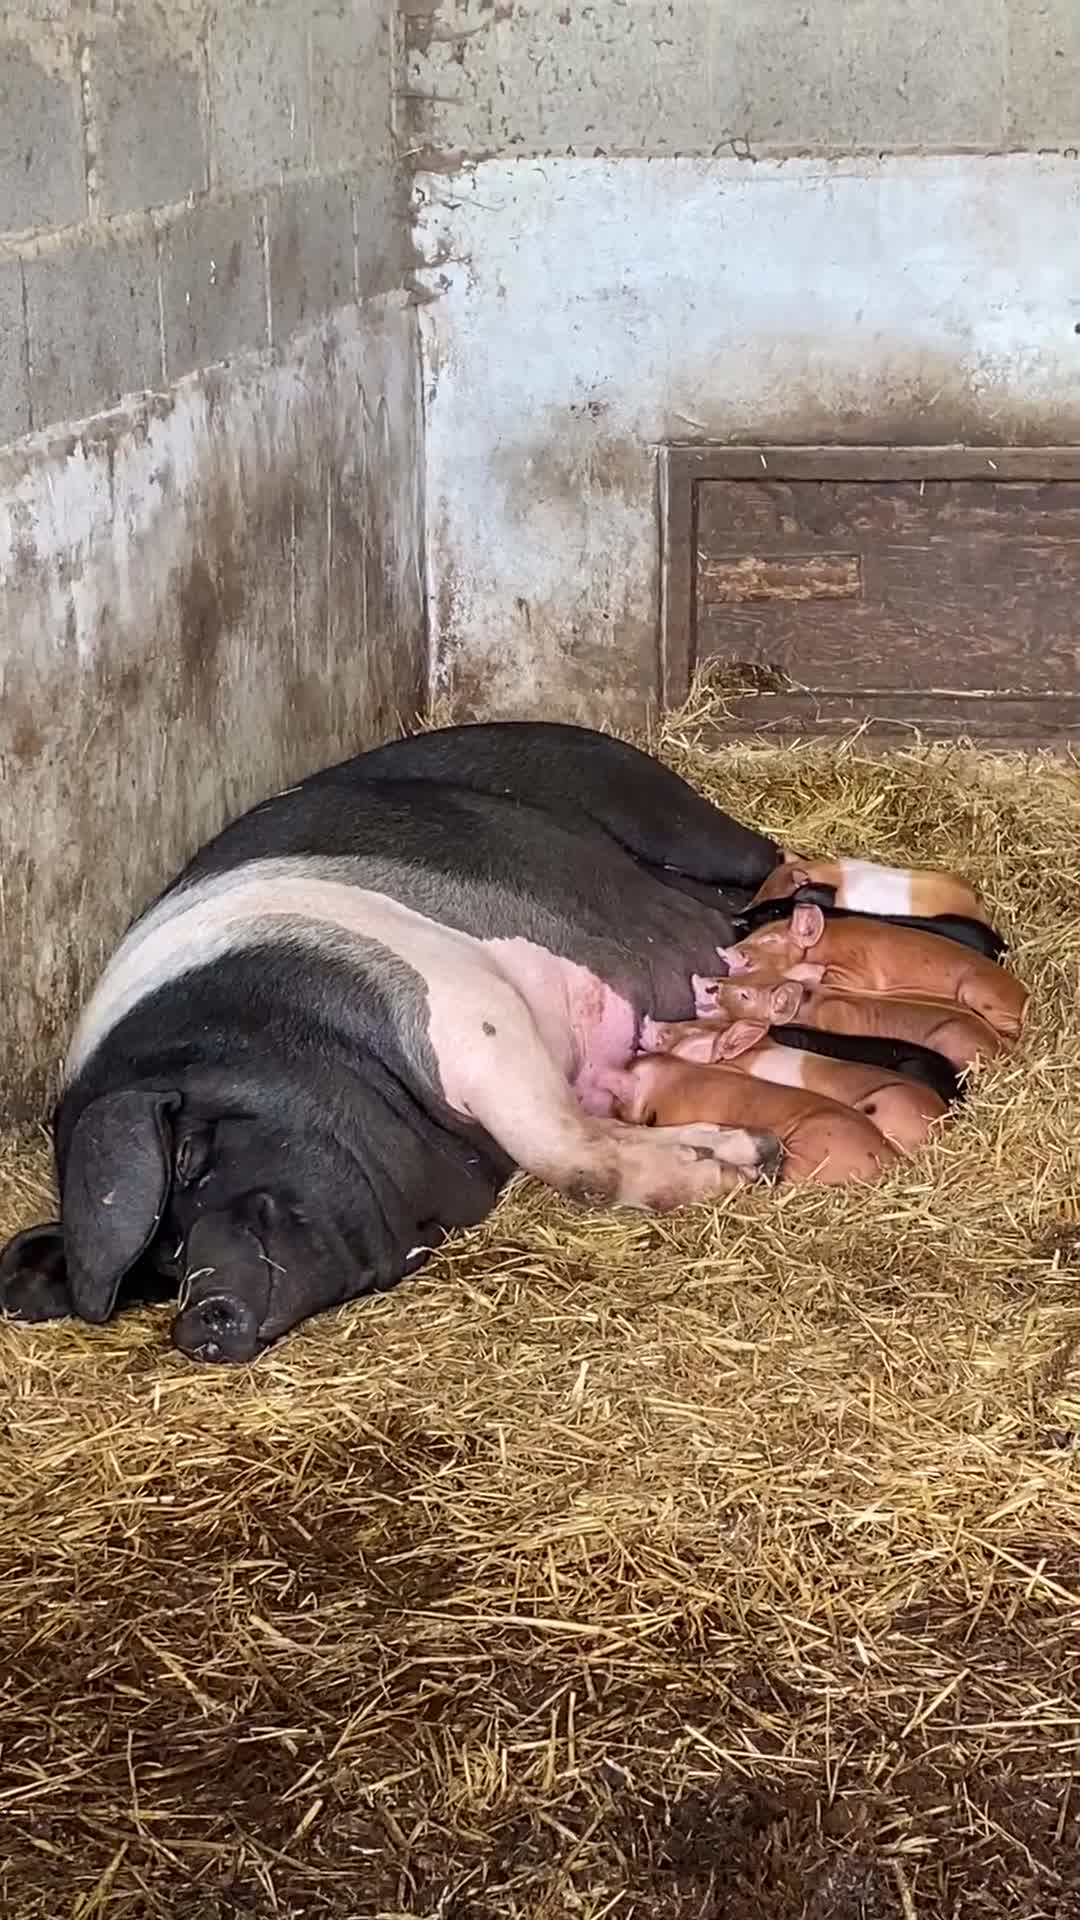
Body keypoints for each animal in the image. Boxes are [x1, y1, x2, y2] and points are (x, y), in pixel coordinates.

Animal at [719, 903, 1027, 1042]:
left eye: (771, 940)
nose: (727, 951)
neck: (822, 946)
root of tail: (1023, 997)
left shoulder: (853, 971)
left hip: (977, 993)